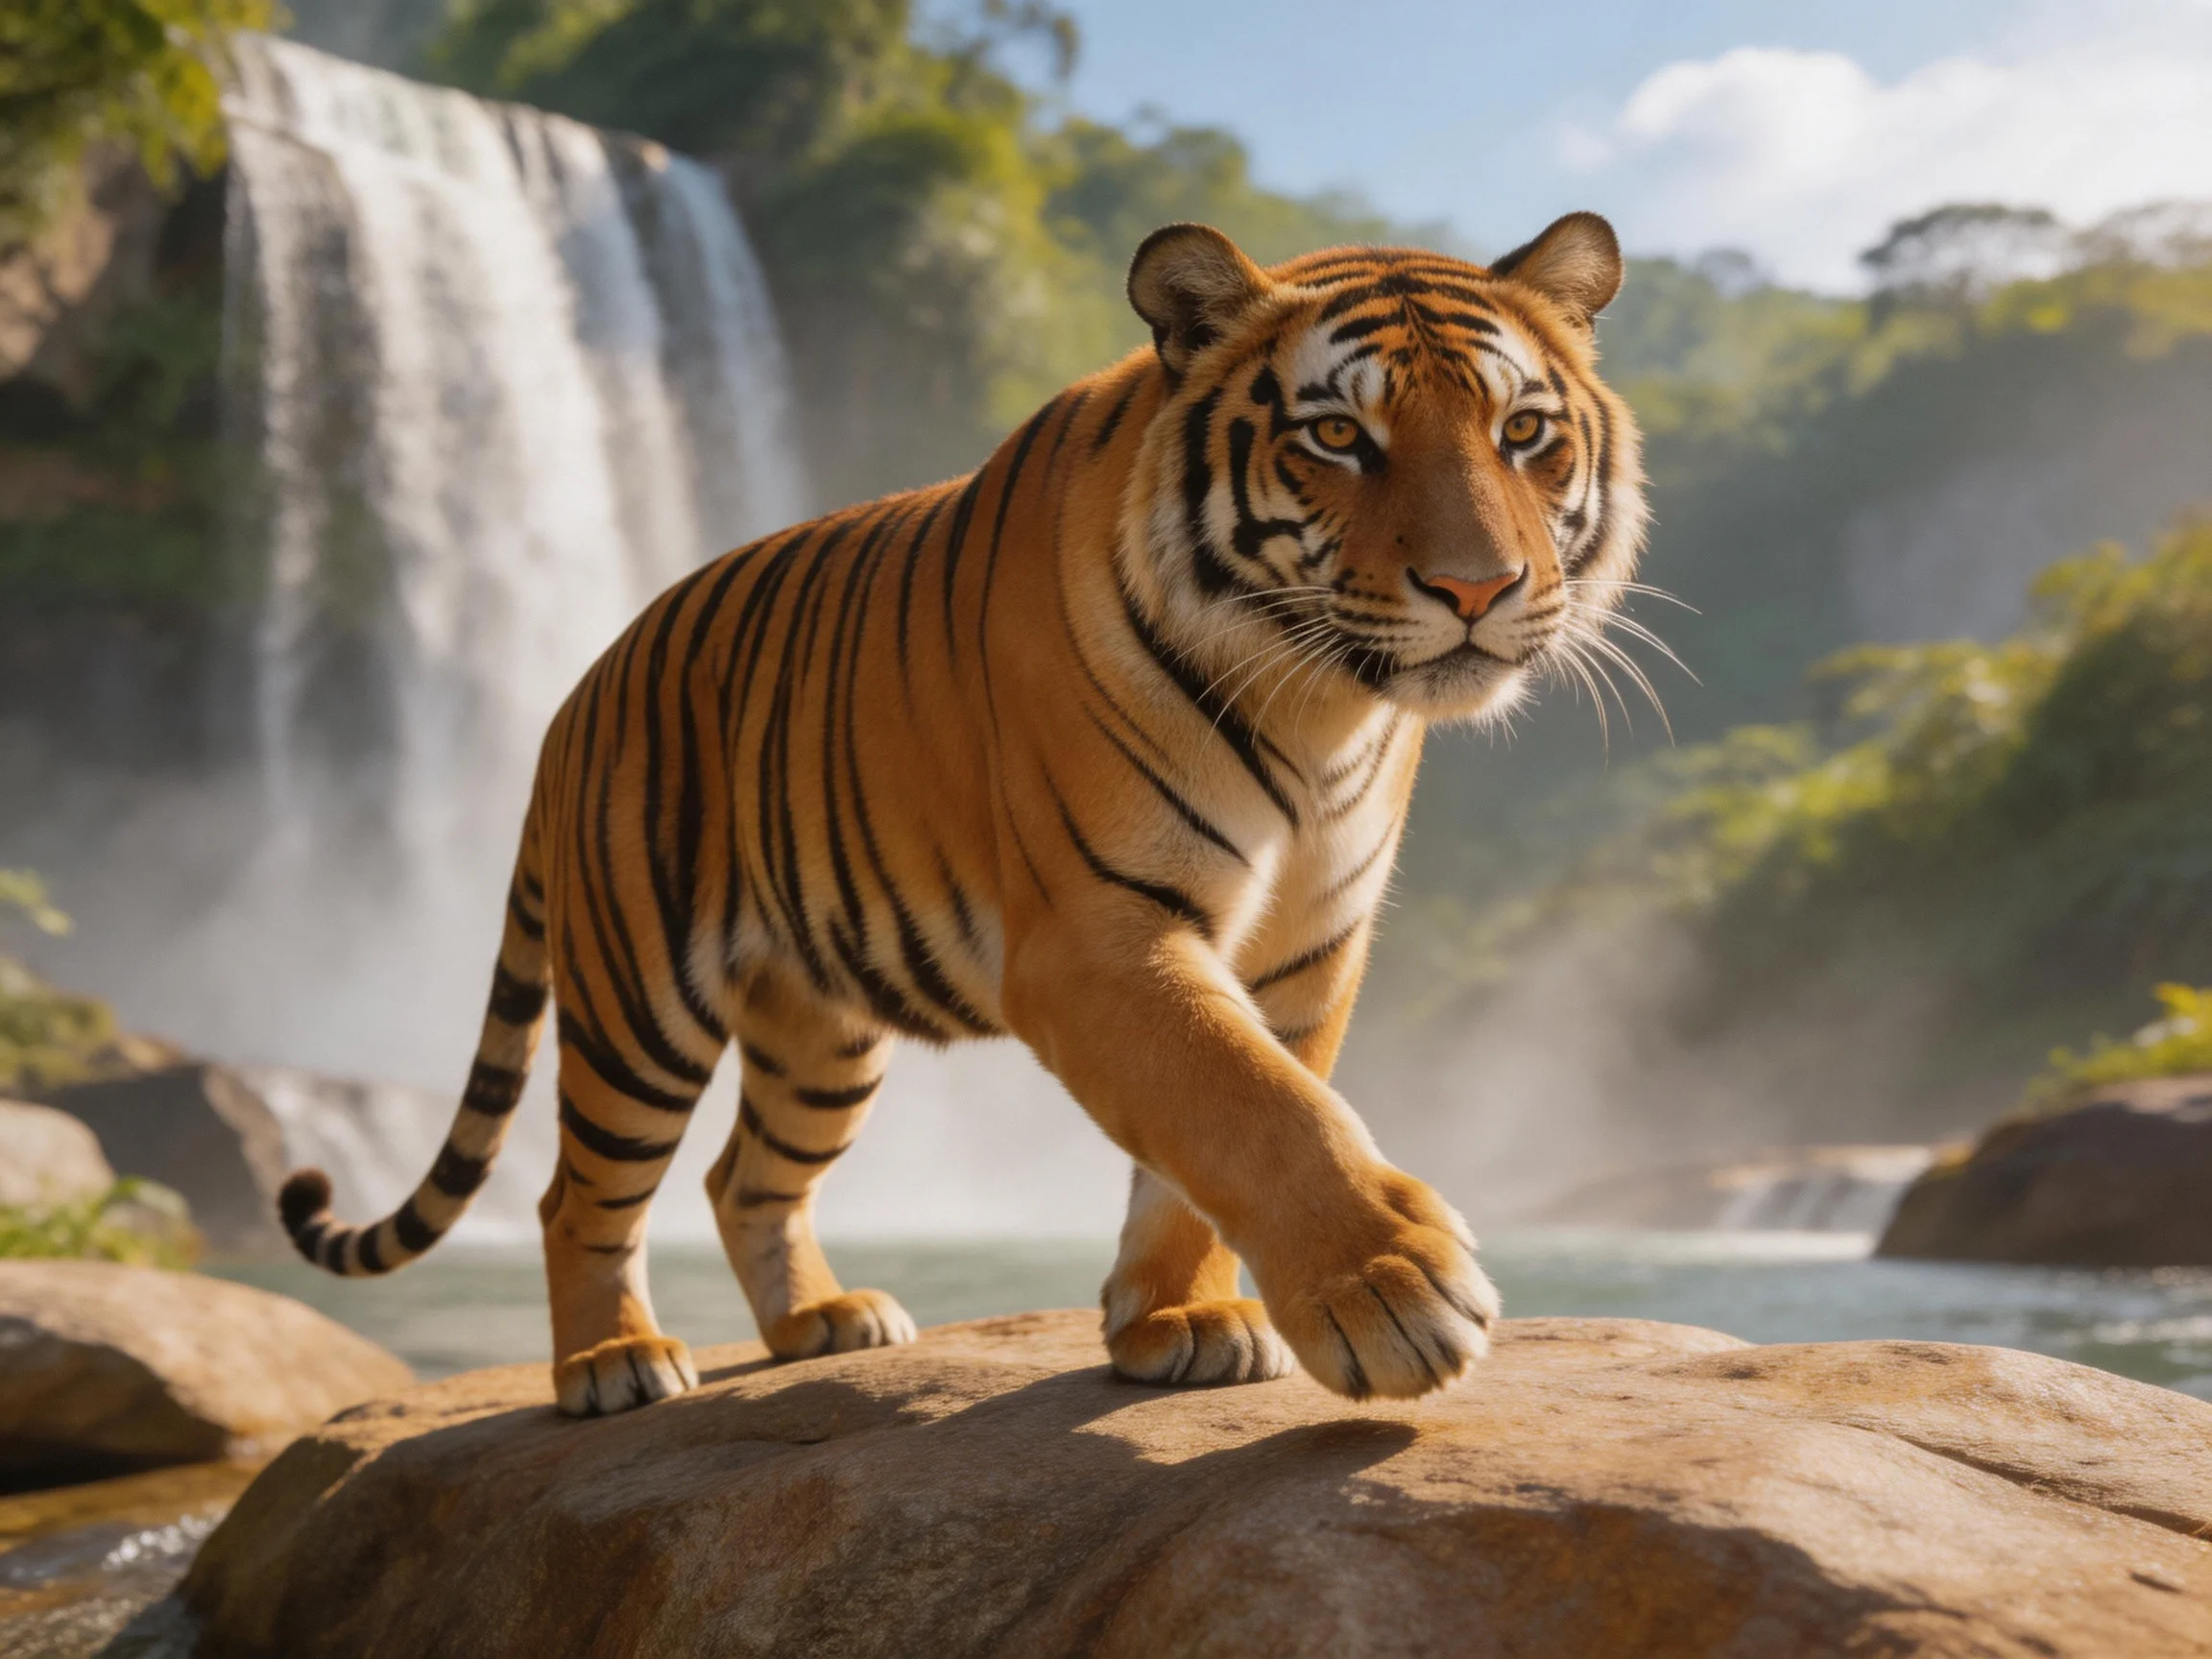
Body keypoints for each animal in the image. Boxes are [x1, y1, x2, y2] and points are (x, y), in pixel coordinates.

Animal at [279, 211, 1647, 1416]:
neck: (1321, 707)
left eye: (1524, 430)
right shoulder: (1096, 937)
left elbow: (1214, 1132)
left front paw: (1178, 1321)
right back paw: (611, 1366)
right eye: (1337, 435)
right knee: (580, 1198)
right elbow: (1250, 1106)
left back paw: (820, 1324)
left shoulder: (1305, 951)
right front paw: (1391, 1292)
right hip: (638, 1002)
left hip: (820, 1032)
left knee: (743, 1176)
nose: (1477, 587)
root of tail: (574, 694)